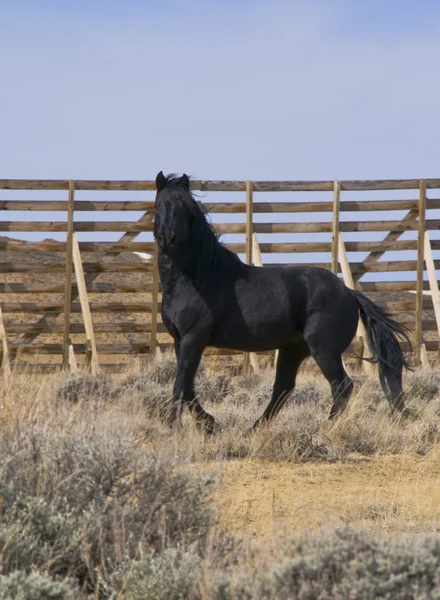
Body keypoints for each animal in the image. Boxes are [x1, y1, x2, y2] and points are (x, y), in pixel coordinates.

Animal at [153, 172, 410, 432]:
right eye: (158, 206)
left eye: (184, 209)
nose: (168, 239)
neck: (198, 277)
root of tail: (347, 292)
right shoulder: (180, 340)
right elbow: (187, 387)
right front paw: (208, 423)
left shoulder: (194, 338)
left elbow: (180, 385)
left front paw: (174, 427)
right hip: (293, 349)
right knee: (284, 388)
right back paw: (256, 428)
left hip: (324, 350)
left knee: (341, 386)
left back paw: (326, 428)